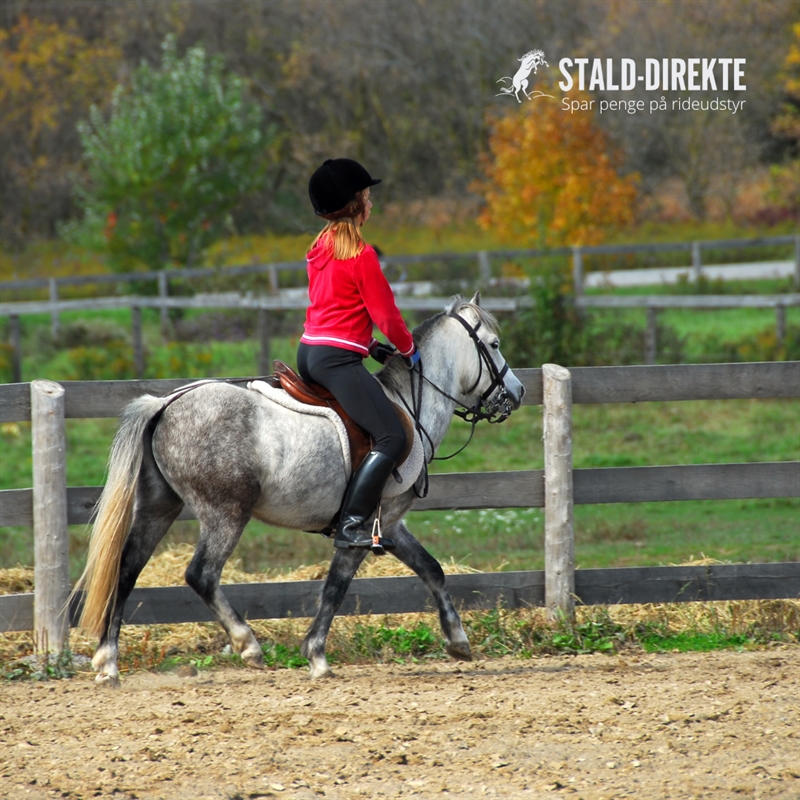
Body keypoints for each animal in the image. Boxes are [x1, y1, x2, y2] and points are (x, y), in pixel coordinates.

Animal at [73, 296, 524, 684]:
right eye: (494, 345)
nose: (516, 393)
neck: (407, 404)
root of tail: (166, 403)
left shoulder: (390, 523)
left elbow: (431, 569)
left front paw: (457, 640)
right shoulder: (361, 528)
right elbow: (336, 587)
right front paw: (317, 655)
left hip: (159, 507)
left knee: (127, 568)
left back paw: (107, 661)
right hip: (225, 514)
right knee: (201, 574)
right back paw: (247, 644)